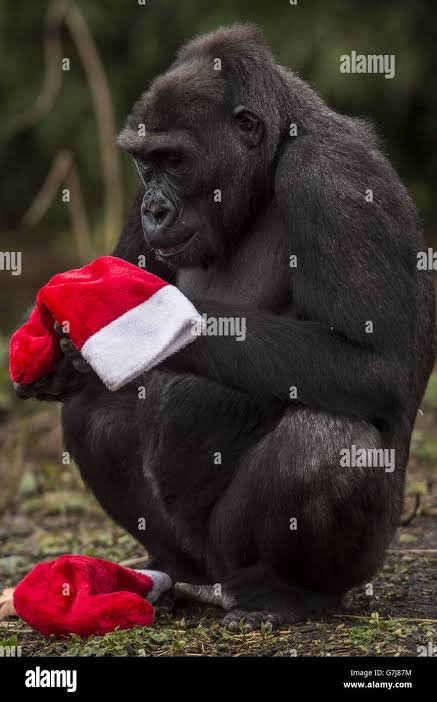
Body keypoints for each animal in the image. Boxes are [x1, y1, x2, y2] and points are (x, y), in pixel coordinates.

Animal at [14, 25, 436, 630]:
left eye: (173, 159)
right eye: (146, 164)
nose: (155, 209)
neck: (273, 156)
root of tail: (217, 582)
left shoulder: (332, 175)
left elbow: (370, 364)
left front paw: (122, 304)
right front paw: (67, 356)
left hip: (331, 560)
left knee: (325, 443)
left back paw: (284, 593)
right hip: (197, 556)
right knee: (93, 414)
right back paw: (165, 570)